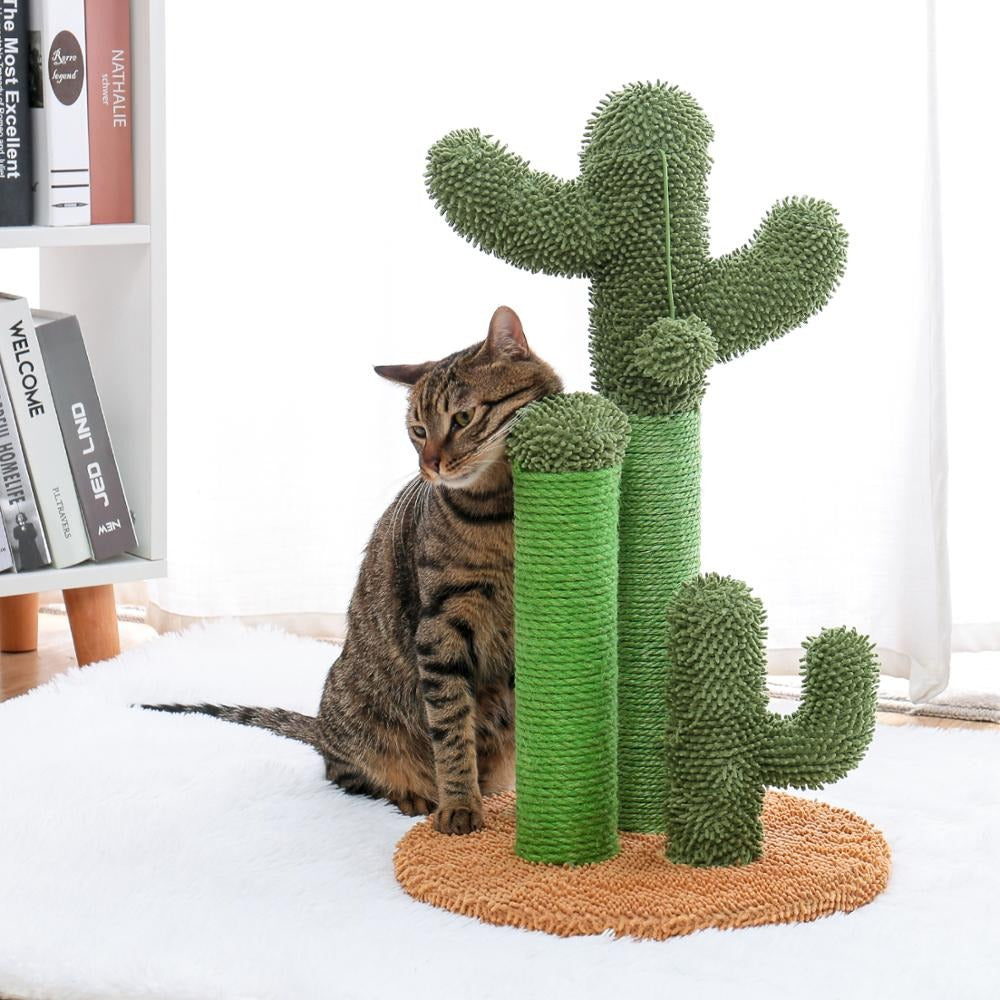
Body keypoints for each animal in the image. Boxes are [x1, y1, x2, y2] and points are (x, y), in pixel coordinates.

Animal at [143, 306, 564, 836]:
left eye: (463, 418)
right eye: (418, 430)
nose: (430, 465)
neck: (502, 511)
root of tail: (321, 725)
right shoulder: (440, 626)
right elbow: (451, 729)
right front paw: (459, 807)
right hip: (355, 709)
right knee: (347, 771)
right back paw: (414, 796)